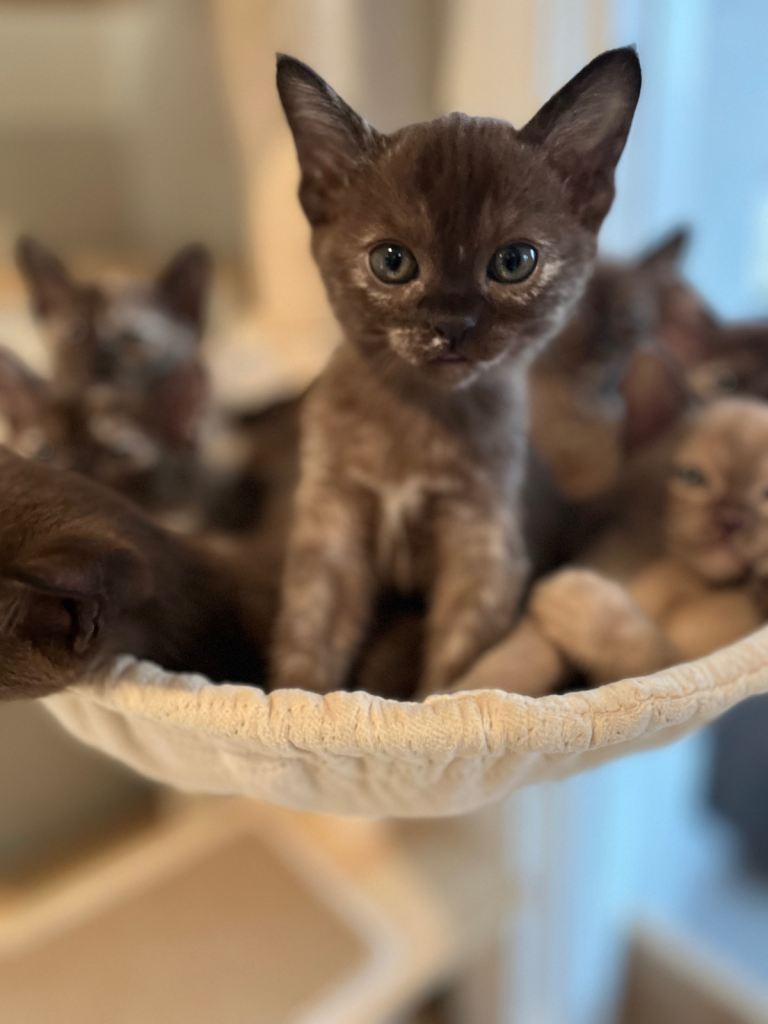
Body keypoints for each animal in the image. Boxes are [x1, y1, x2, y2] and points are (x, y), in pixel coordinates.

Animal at [460, 397, 767, 695]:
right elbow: (524, 657)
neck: (683, 578)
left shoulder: (688, 663)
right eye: (692, 477)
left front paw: (577, 596)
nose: (731, 520)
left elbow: (641, 648)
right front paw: (469, 694)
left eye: (765, 494)